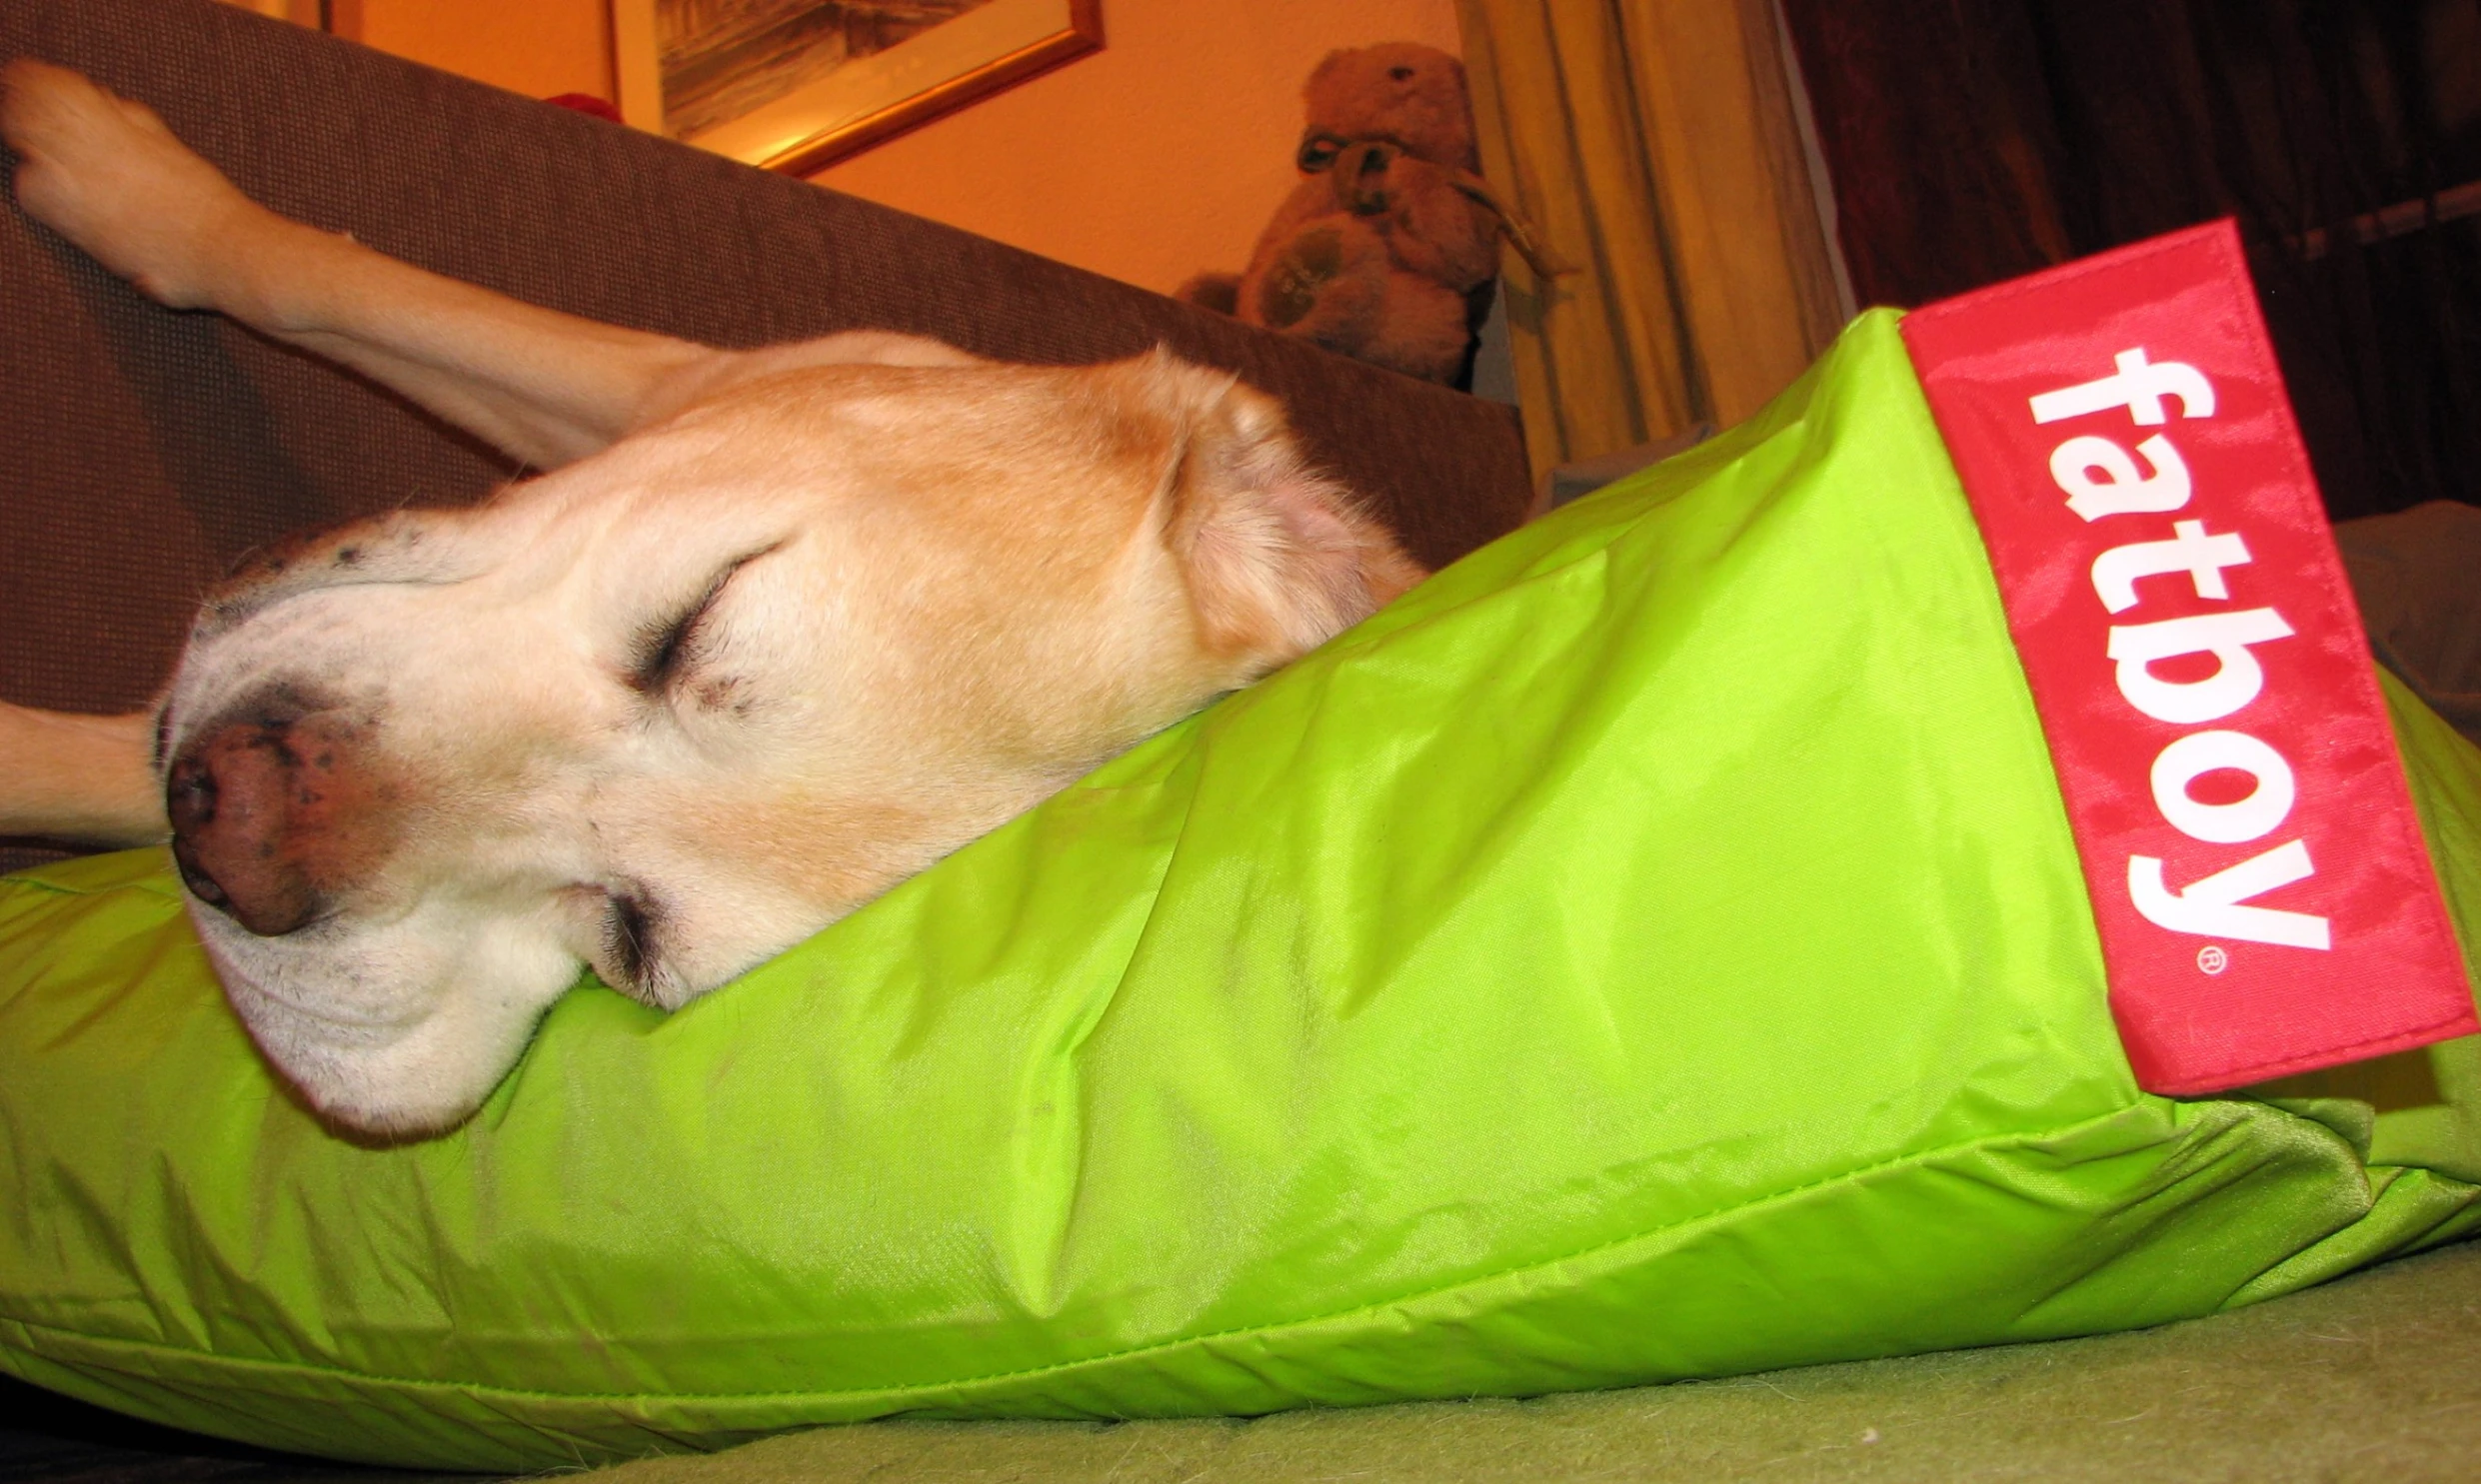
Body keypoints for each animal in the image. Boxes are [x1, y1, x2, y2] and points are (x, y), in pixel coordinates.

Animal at [0, 61, 1428, 1141]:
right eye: (696, 615)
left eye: (631, 940)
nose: (220, 821)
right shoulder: (687, 378)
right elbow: (327, 277)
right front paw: (97, 161)